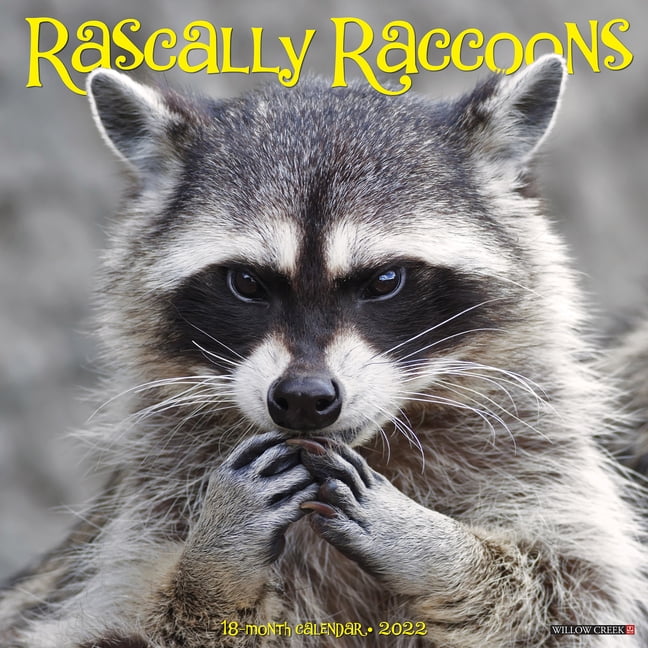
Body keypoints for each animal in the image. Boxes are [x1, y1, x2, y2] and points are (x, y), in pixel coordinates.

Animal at [1, 55, 647, 647]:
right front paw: (210, 571)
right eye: (246, 282)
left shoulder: (538, 461)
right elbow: (107, 626)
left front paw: (438, 549)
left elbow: (574, 591)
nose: (304, 398)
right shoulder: (137, 522)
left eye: (386, 281)